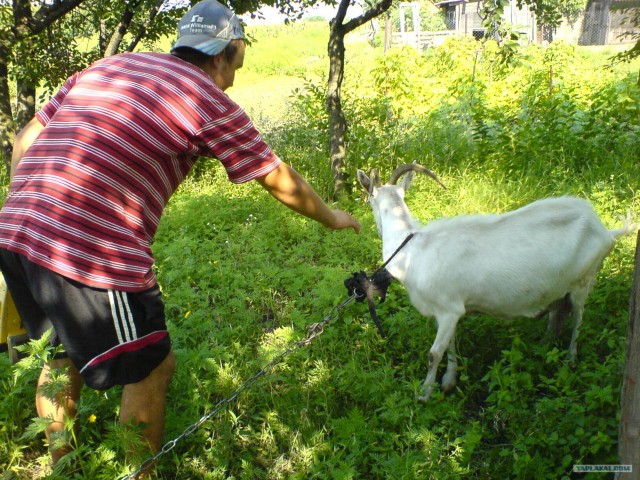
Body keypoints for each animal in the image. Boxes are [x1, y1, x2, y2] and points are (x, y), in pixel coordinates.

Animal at [356, 165, 636, 402]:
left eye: (370, 199)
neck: (413, 249)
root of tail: (605, 230)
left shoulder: (448, 310)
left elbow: (434, 353)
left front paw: (425, 393)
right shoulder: (450, 310)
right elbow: (451, 344)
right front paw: (449, 381)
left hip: (584, 280)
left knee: (578, 319)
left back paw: (570, 359)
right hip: (561, 287)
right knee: (557, 313)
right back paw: (545, 347)